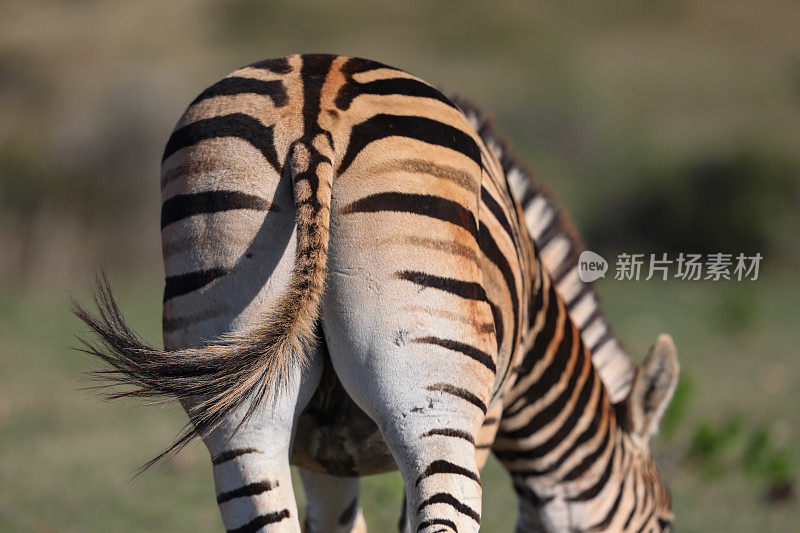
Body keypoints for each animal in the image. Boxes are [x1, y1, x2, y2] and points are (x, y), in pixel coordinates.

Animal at [73, 55, 676, 532]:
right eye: (667, 522)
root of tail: (312, 105)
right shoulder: (487, 419)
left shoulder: (321, 456)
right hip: (433, 401)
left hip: (236, 385)